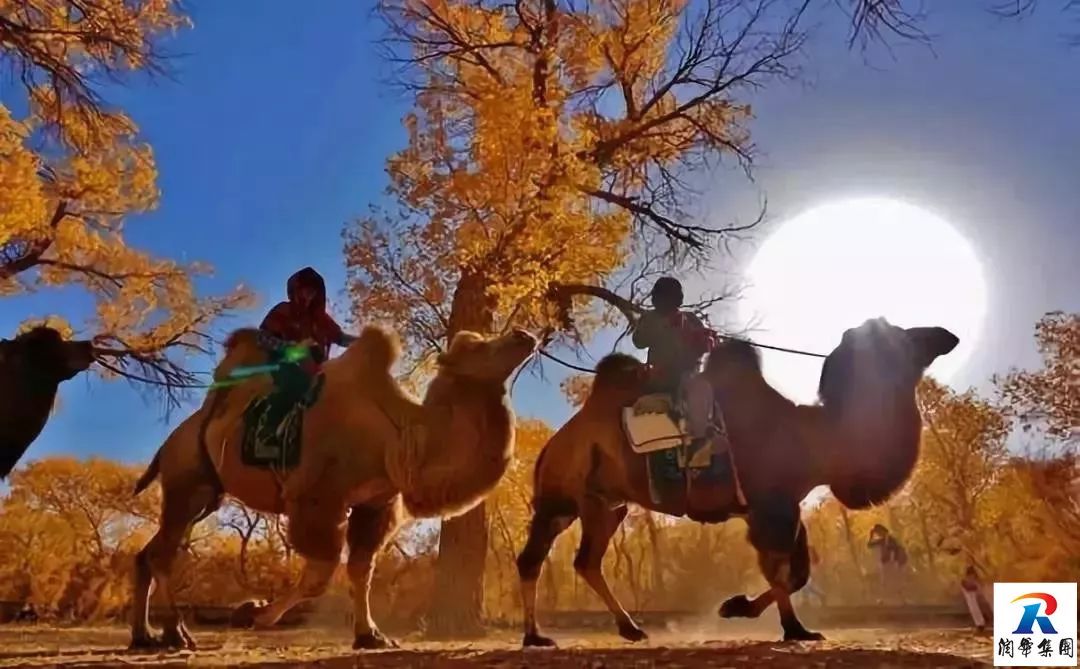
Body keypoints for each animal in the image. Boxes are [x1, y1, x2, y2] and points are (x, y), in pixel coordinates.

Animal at [131, 324, 540, 648]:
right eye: (476, 348)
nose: (524, 335)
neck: (398, 435)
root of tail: (168, 444)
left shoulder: (376, 503)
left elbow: (361, 569)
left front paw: (371, 636)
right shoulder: (317, 498)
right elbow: (321, 573)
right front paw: (252, 613)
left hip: (204, 496)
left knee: (148, 553)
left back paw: (146, 637)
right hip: (188, 481)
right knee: (163, 552)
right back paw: (178, 634)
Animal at [518, 319, 959, 644]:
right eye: (904, 336)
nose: (946, 335)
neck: (814, 438)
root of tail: (553, 443)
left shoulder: (781, 507)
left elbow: (797, 572)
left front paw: (747, 610)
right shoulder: (770, 507)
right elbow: (782, 571)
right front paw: (786, 626)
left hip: (598, 504)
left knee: (561, 560)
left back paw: (595, 631)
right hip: (579, 496)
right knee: (561, 558)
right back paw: (557, 635)